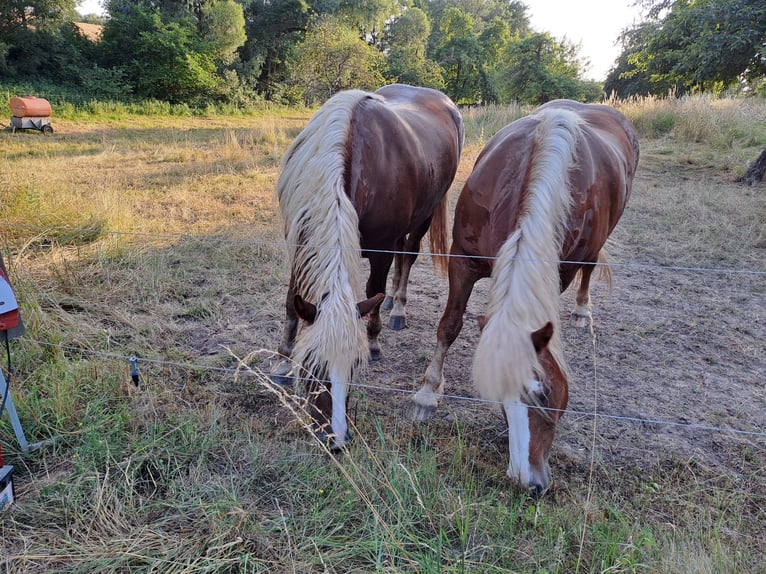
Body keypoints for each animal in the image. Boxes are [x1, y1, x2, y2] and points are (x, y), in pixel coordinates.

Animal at [273, 84, 464, 448]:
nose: (335, 439)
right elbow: (292, 302)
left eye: (354, 367)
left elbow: (374, 289)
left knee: (408, 256)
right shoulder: (298, 243)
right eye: (312, 367)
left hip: (424, 217)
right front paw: (282, 360)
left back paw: (398, 308)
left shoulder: (380, 249)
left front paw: (374, 341)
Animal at [412, 99, 639, 495]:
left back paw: (582, 312)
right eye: (498, 394)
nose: (527, 480)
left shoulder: (560, 272)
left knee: (591, 267)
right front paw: (428, 394)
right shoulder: (462, 261)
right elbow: (449, 325)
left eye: (545, 394)